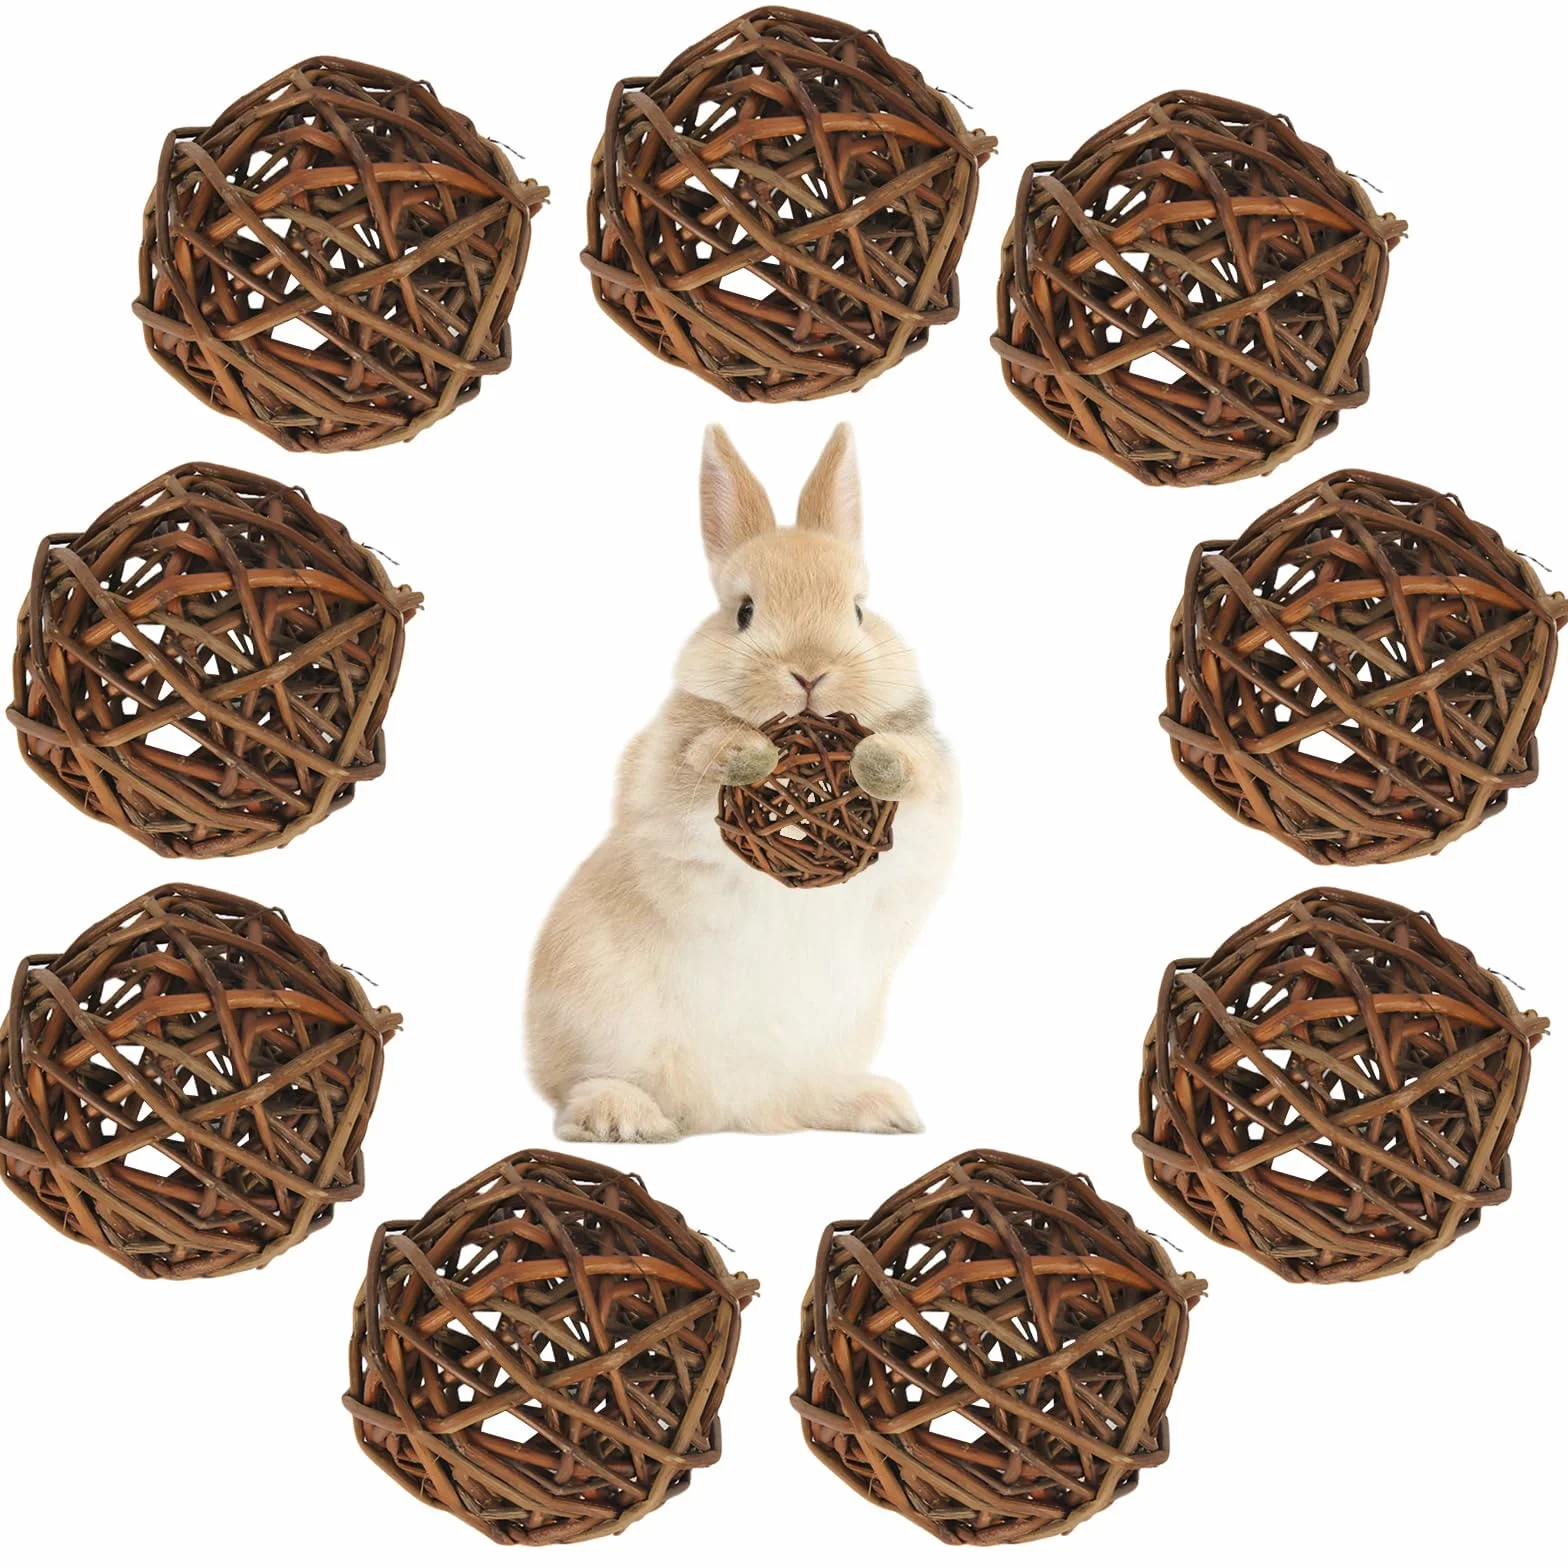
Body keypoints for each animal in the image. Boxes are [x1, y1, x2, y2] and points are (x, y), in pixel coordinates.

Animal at [526, 423, 959, 1141]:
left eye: (859, 611)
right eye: (745, 612)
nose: (809, 671)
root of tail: (733, 1111)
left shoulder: (936, 780)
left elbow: (917, 768)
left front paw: (874, 763)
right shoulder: (663, 766)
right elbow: (696, 757)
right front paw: (750, 756)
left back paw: (881, 1108)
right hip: (596, 1018)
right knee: (572, 1093)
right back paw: (624, 1116)